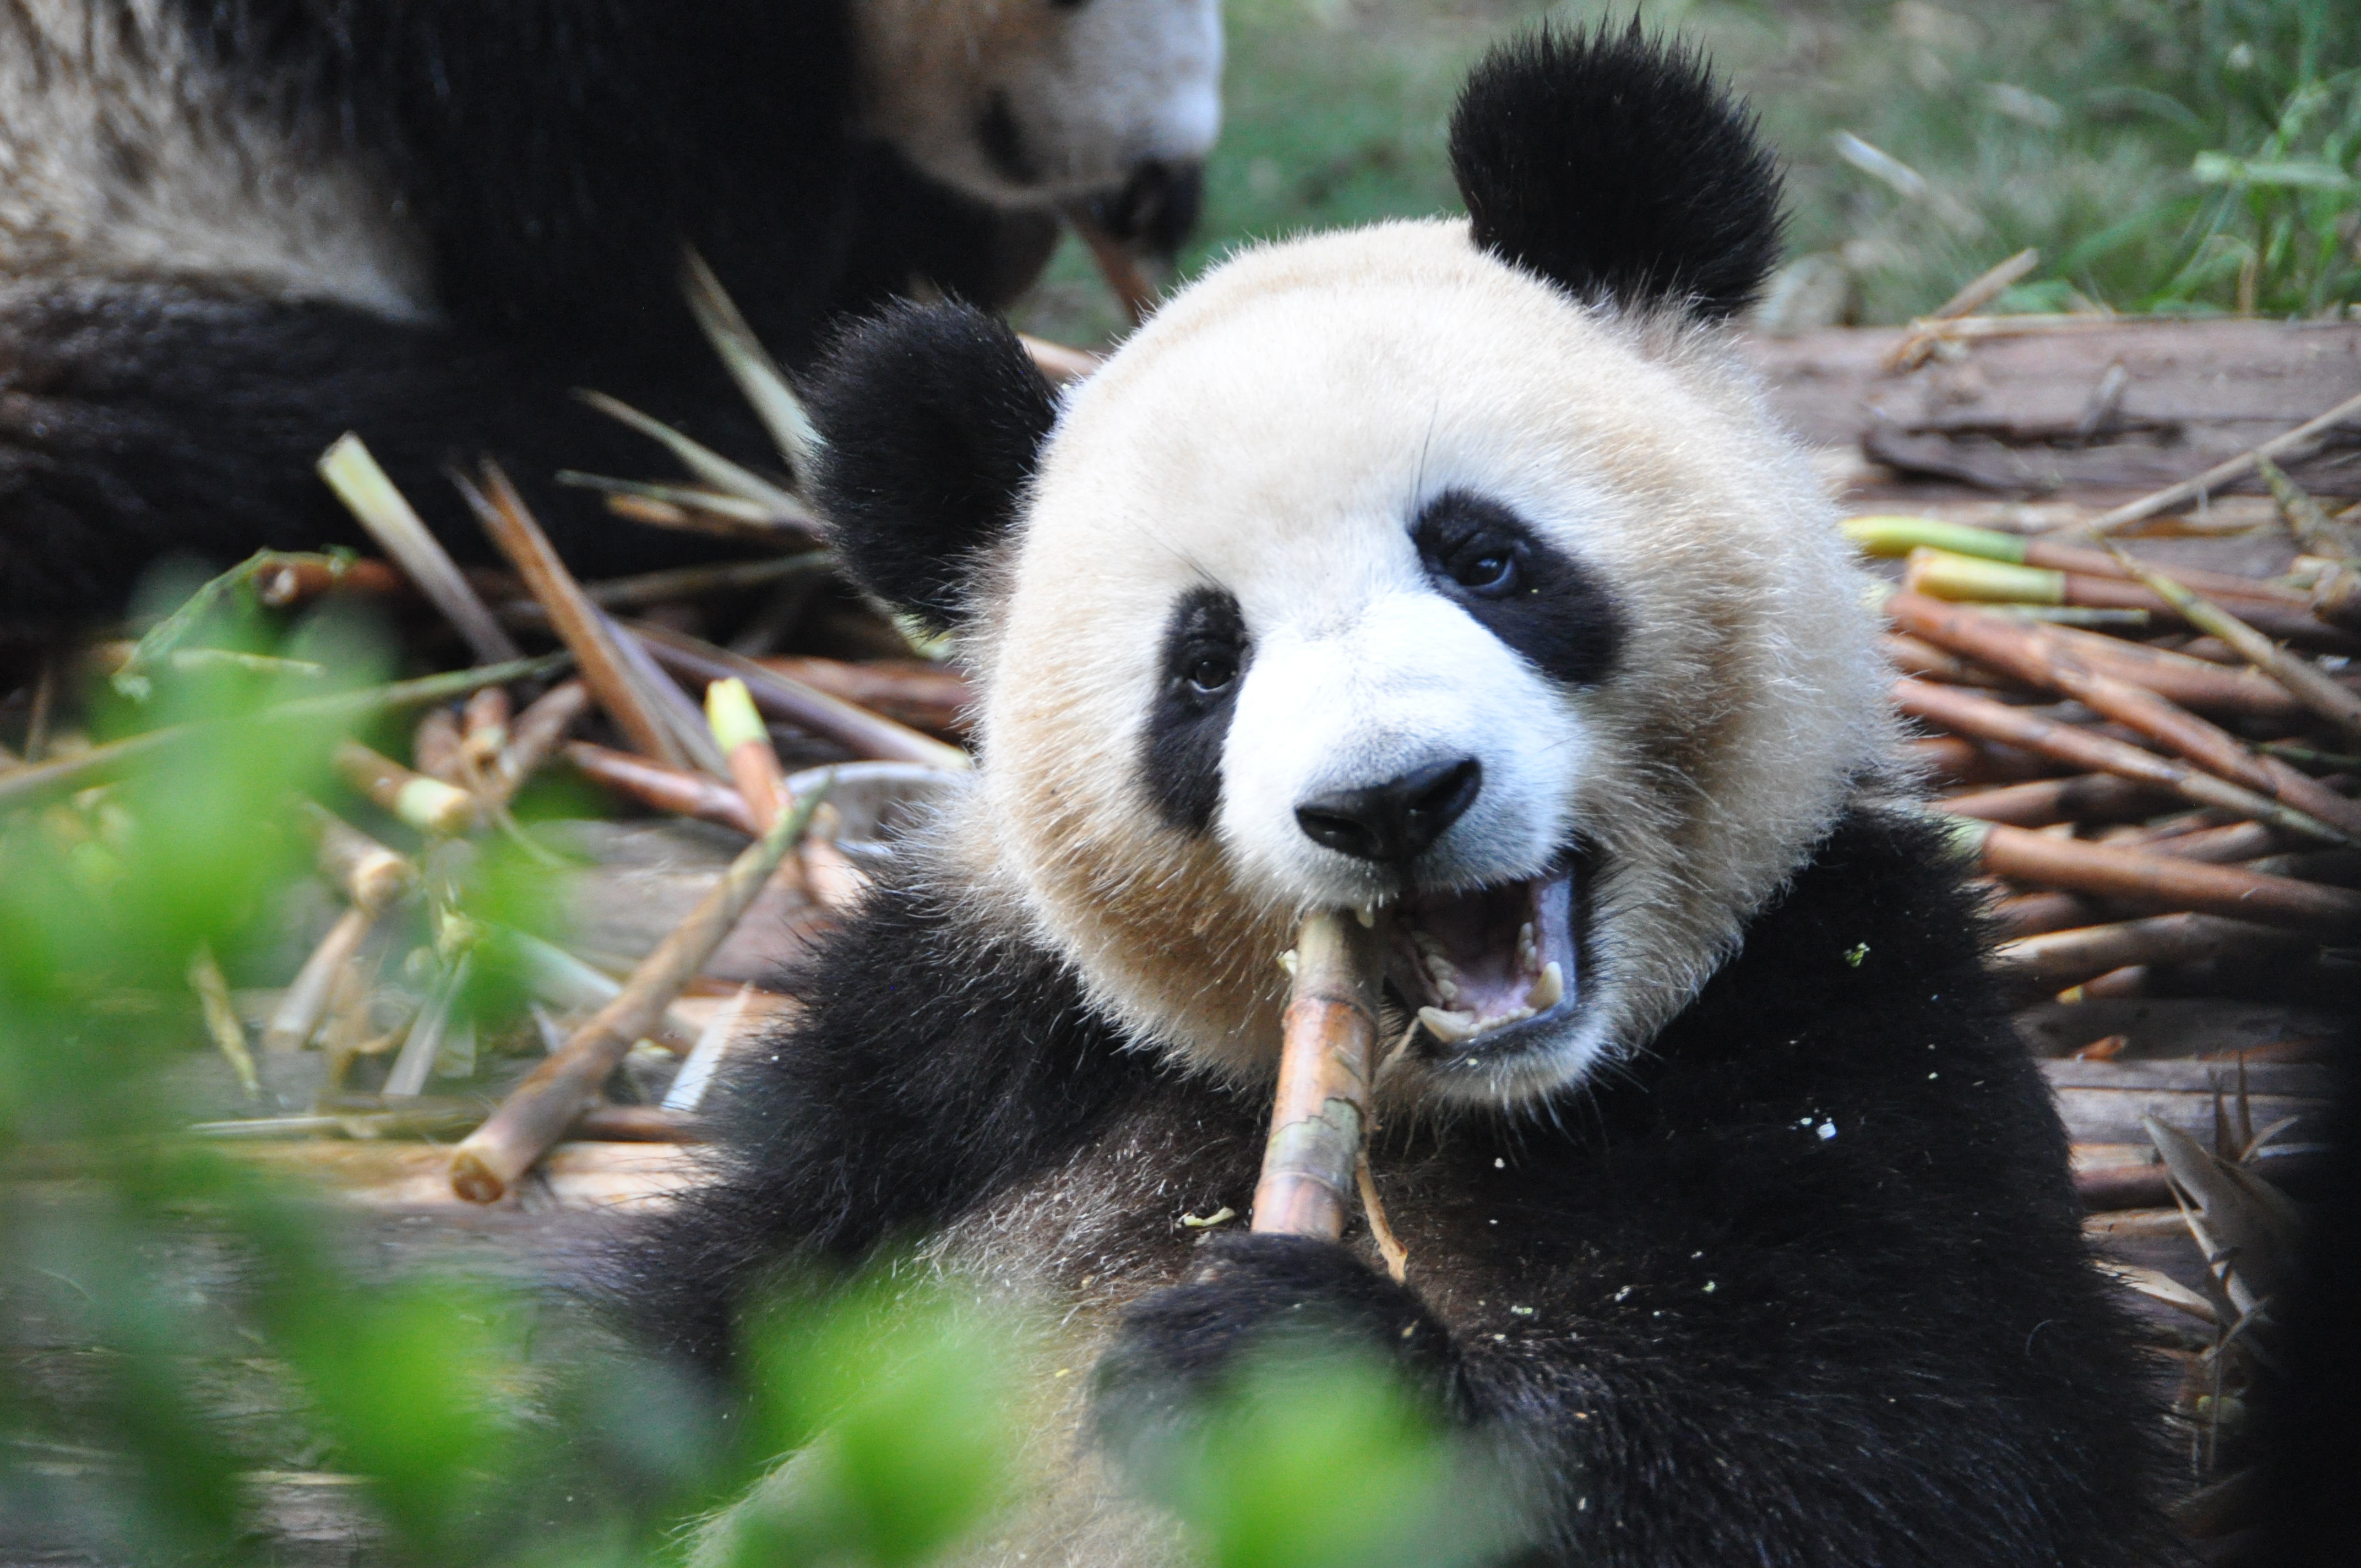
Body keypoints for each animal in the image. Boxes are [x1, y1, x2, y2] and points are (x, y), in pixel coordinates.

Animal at [613, 24, 2172, 1567]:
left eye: (1483, 558)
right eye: (1205, 664)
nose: (1389, 800)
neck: (1483, 1107)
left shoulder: (1846, 1007)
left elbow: (1932, 1441)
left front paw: (1280, 1366)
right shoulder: (956, 1057)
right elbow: (696, 1310)